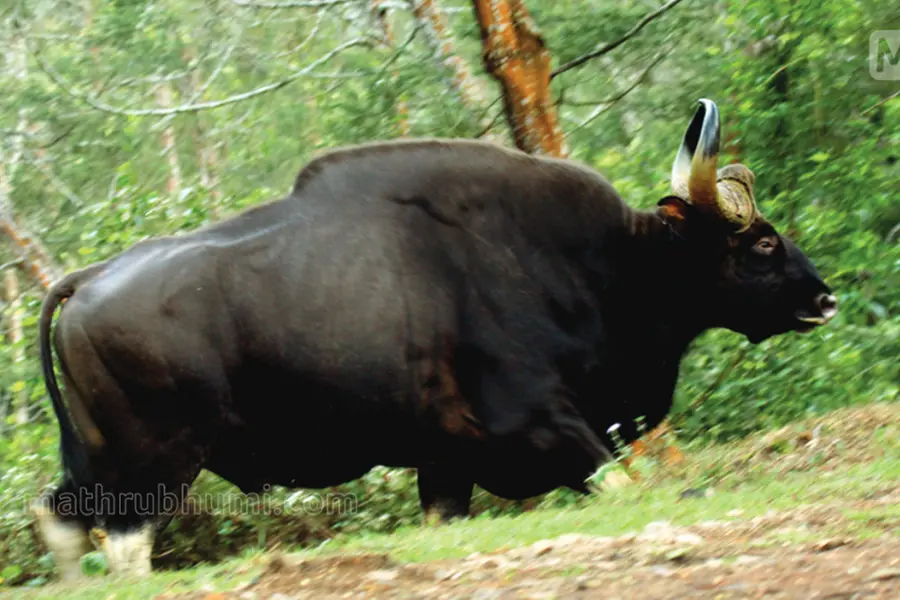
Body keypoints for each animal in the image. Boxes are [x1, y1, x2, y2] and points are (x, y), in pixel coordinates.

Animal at [31, 99, 836, 579]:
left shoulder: (446, 462)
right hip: (154, 459)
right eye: (762, 243)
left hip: (102, 455)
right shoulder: (542, 422)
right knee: (124, 542)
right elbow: (624, 485)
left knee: (59, 515)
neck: (588, 262)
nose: (824, 298)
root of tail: (90, 277)